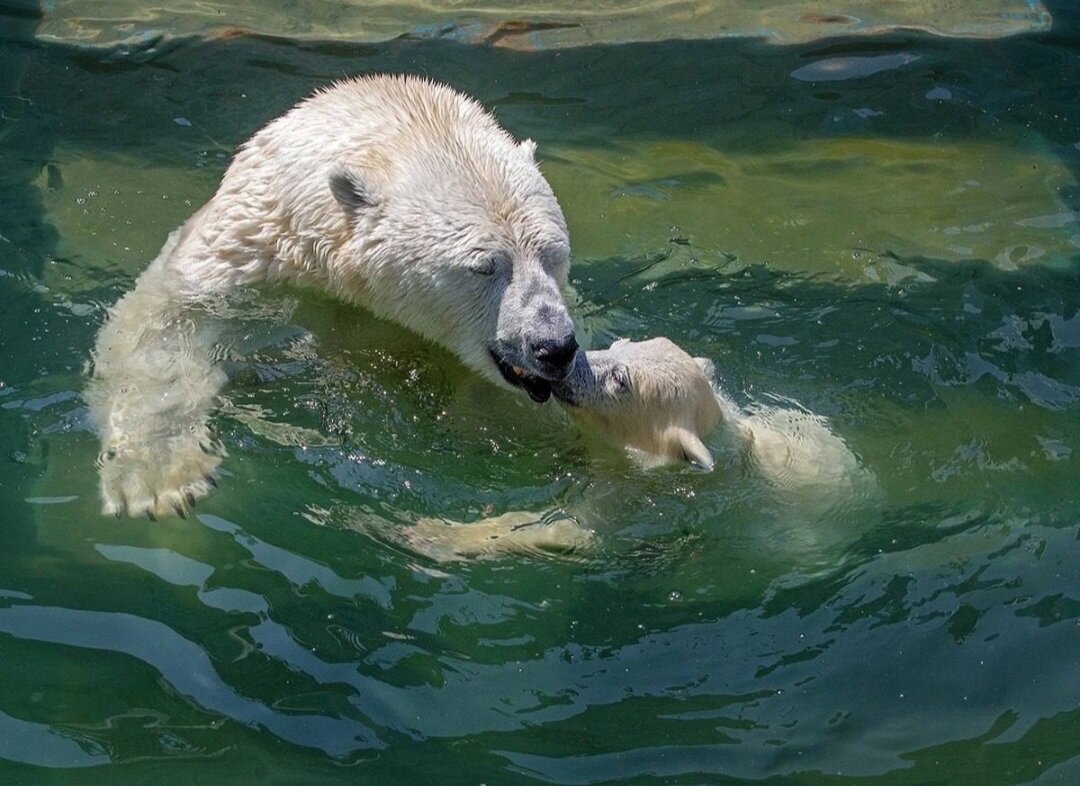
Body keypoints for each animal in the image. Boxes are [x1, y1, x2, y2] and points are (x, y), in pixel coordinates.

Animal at [87, 73, 578, 518]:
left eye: (553, 254)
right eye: (484, 266)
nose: (554, 346)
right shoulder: (246, 260)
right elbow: (164, 328)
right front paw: (161, 480)